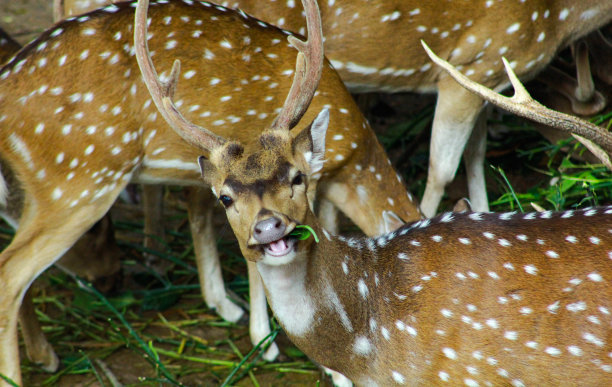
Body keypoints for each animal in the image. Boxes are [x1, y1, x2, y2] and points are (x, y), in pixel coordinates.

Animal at [0, 0, 418, 384]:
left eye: (295, 178)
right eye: (227, 197)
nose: (268, 227)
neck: (352, 157)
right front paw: (270, 342)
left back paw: (45, 355)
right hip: (77, 180)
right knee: (11, 272)